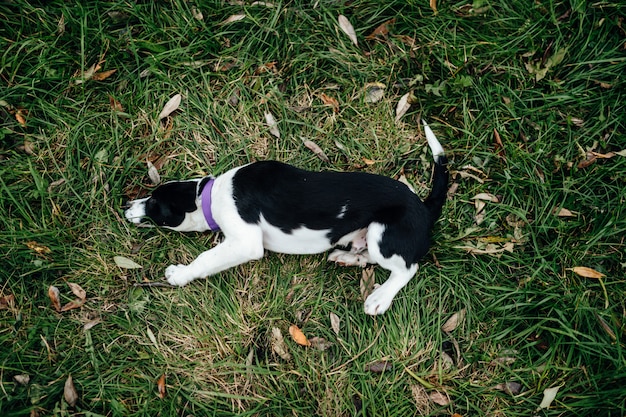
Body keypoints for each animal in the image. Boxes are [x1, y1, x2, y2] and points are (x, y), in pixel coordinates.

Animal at [124, 118, 446, 314]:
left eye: (154, 204)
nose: (127, 206)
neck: (212, 195)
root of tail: (423, 207)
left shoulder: (246, 242)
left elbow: (205, 259)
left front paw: (180, 274)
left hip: (383, 233)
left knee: (407, 268)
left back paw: (380, 297)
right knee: (373, 258)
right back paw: (347, 257)